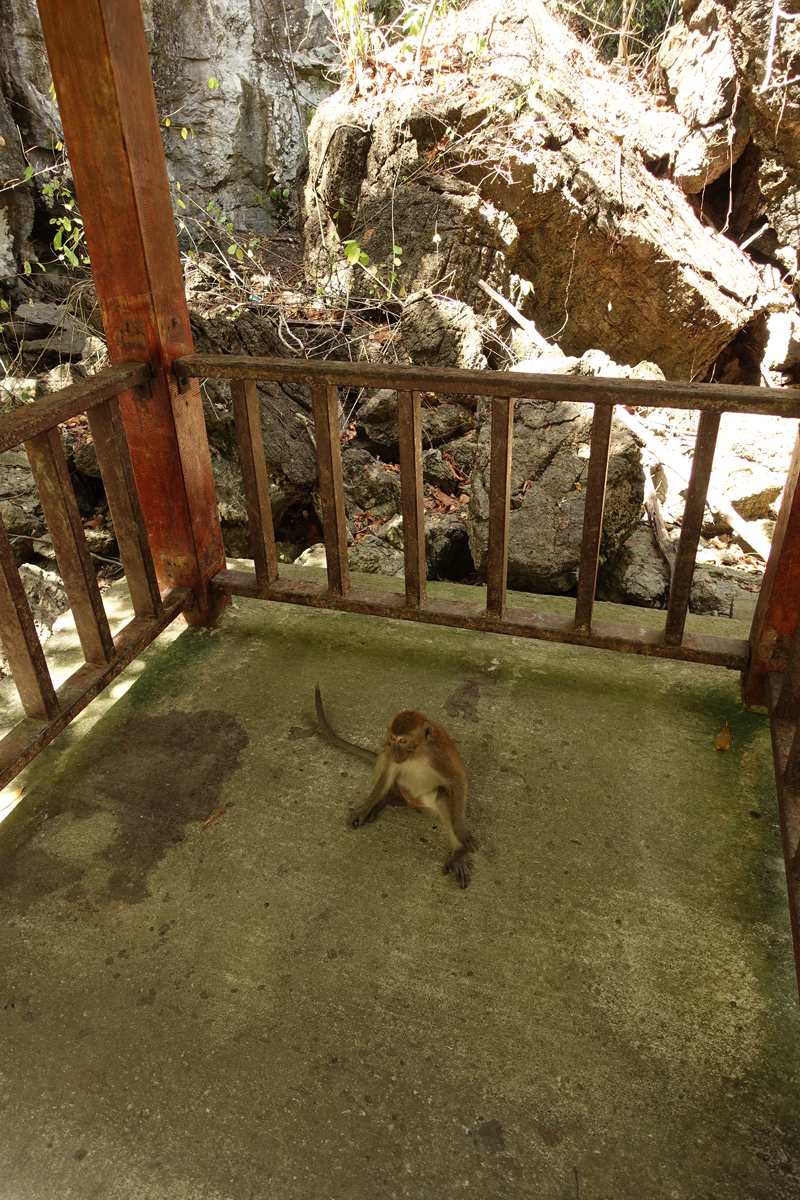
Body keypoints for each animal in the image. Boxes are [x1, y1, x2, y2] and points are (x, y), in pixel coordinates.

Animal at [311, 681, 474, 888]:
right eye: (392, 738)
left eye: (403, 740)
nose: (395, 750)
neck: (416, 753)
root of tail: (410, 801)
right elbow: (388, 771)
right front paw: (364, 808)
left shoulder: (439, 755)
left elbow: (457, 781)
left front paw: (462, 836)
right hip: (400, 786)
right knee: (384, 759)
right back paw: (384, 799)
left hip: (426, 801)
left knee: (444, 797)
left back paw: (458, 854)